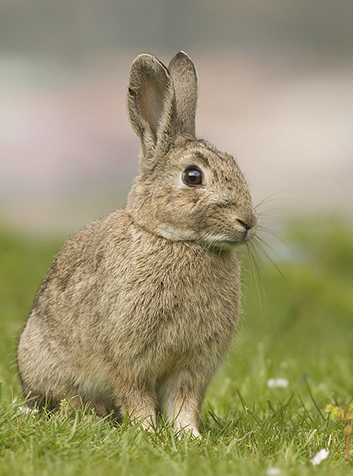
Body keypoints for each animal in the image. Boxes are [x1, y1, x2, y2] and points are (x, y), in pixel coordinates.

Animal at [17, 50, 258, 436]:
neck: (178, 241)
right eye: (193, 176)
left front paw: (188, 436)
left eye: (234, 164)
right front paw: (146, 431)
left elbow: (184, 401)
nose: (248, 222)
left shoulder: (192, 366)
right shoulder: (129, 359)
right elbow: (136, 396)